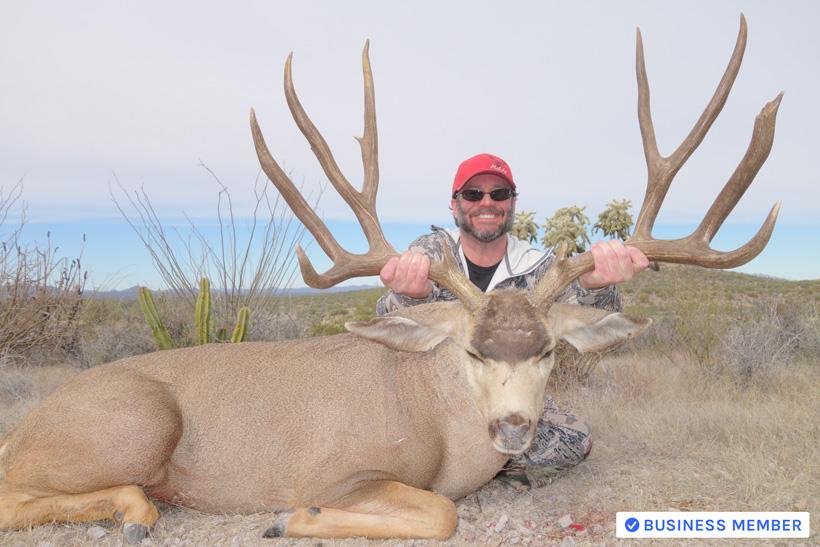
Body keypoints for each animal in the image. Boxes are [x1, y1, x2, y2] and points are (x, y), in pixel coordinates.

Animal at [0, 14, 780, 543]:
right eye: (472, 350)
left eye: (549, 350)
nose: (513, 428)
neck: (430, 413)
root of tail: (26, 426)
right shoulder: (337, 466)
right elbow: (436, 512)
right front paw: (290, 518)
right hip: (136, 421)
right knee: (21, 491)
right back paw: (135, 512)